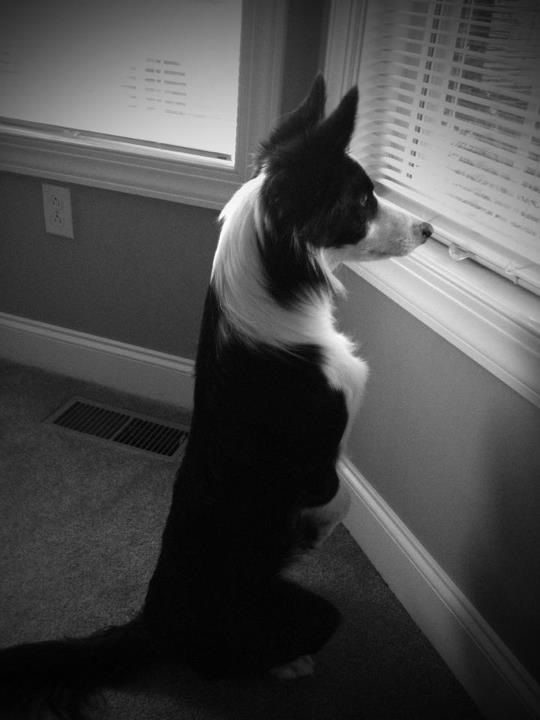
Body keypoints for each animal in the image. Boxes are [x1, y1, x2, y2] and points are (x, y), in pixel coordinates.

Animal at [0, 76, 430, 716]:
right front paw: (316, 531)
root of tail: (151, 623)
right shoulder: (315, 459)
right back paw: (289, 664)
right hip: (303, 614)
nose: (430, 230)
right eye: (361, 202)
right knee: (222, 663)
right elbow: (342, 496)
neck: (279, 279)